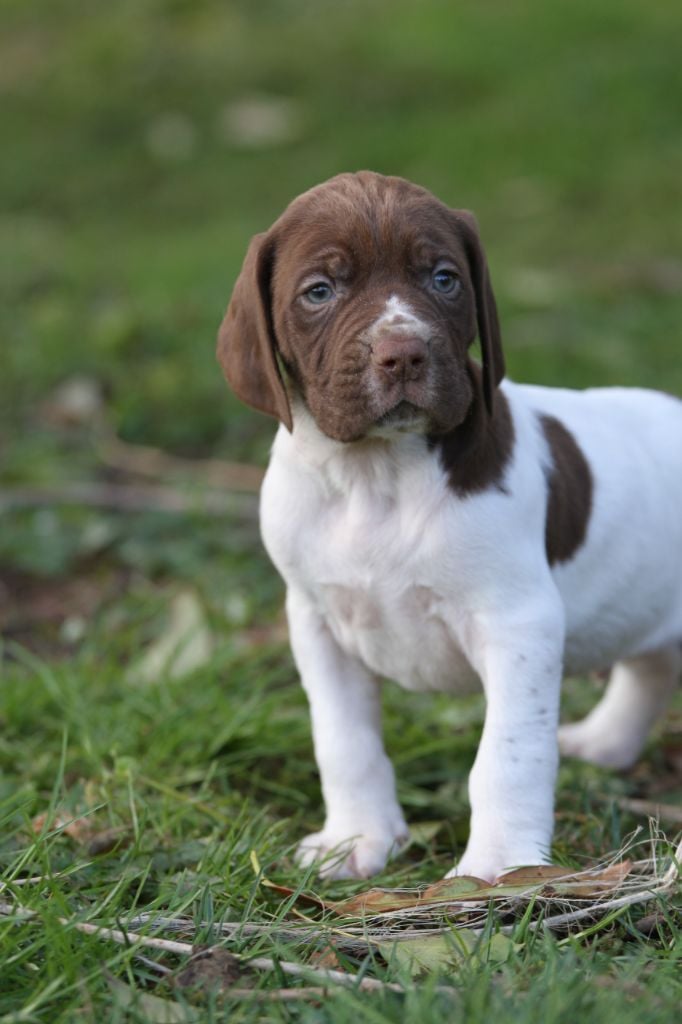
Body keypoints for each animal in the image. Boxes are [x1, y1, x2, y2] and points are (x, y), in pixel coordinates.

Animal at [215, 169, 675, 880]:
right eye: (319, 291)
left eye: (443, 278)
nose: (402, 354)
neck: (375, 477)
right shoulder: (317, 622)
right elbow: (343, 742)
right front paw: (358, 838)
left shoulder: (518, 624)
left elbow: (507, 757)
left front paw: (499, 868)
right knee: (648, 670)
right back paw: (606, 741)